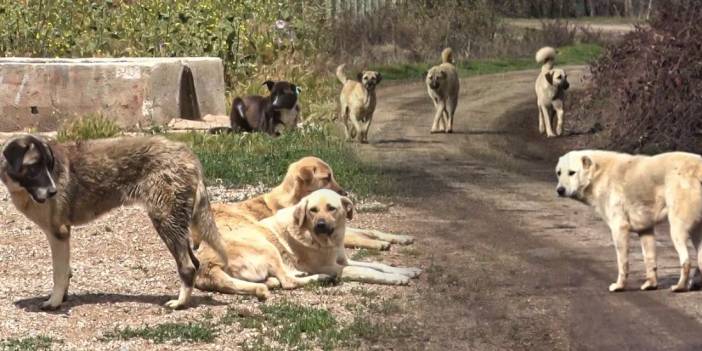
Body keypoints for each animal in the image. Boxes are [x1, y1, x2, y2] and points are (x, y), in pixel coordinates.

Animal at [0, 135, 228, 310]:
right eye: (34, 167)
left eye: (48, 165)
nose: (53, 192)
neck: (23, 189)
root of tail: (187, 153)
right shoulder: (60, 236)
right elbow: (66, 272)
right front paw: (62, 296)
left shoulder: (59, 233)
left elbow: (59, 273)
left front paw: (54, 303)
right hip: (176, 224)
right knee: (195, 263)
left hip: (166, 221)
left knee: (187, 266)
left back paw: (180, 303)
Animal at [190, 157, 416, 253]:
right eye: (327, 178)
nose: (345, 193)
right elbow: (362, 237)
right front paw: (379, 244)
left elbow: (371, 231)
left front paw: (398, 237)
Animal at [195, 190, 420, 300]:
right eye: (312, 210)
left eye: (331, 208)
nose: (320, 225)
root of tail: (206, 265)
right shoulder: (335, 266)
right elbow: (368, 272)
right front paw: (397, 279)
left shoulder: (344, 260)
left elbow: (379, 265)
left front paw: (407, 270)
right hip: (268, 247)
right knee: (288, 282)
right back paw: (319, 278)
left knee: (276, 281)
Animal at [560, 151, 702, 294]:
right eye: (558, 172)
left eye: (571, 172)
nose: (559, 190)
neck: (598, 174)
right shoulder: (645, 229)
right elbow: (649, 259)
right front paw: (650, 285)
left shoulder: (619, 228)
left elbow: (622, 262)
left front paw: (619, 286)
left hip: (677, 229)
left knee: (687, 261)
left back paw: (680, 287)